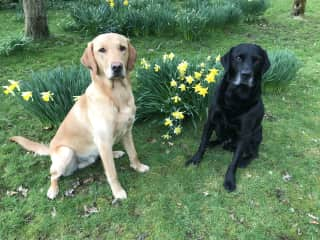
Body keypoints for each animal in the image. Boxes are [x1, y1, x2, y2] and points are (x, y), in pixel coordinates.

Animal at [10, 32, 150, 200]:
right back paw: (53, 190)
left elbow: (133, 153)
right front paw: (118, 192)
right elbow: (112, 173)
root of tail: (50, 149)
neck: (116, 95)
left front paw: (138, 167)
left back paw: (115, 153)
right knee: (53, 174)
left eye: (122, 48)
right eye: (102, 50)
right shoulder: (103, 140)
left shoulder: (127, 131)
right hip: (66, 152)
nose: (117, 67)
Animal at [186, 43, 272, 191]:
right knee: (219, 140)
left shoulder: (244, 133)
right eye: (238, 58)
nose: (246, 75)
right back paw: (212, 143)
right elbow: (202, 143)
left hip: (256, 133)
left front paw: (230, 180)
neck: (236, 95)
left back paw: (244, 161)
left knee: (254, 154)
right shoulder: (210, 121)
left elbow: (234, 161)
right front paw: (195, 159)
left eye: (256, 60)